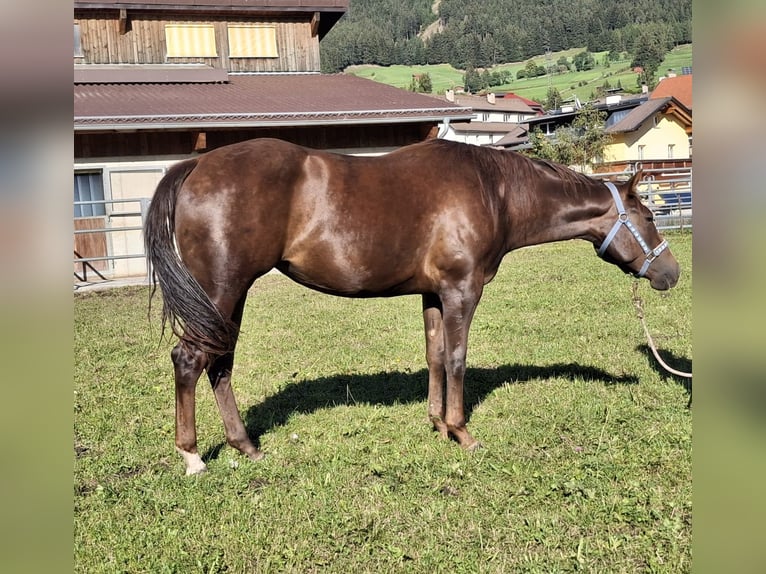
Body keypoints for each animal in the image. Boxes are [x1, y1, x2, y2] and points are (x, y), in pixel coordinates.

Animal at [144, 137, 679, 475]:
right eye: (650, 217)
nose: (670, 274)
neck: (495, 191)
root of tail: (197, 167)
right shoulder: (462, 289)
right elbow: (458, 358)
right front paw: (462, 433)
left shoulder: (433, 294)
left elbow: (436, 356)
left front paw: (438, 425)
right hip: (221, 291)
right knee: (190, 360)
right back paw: (193, 457)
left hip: (229, 299)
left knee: (220, 365)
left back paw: (246, 446)